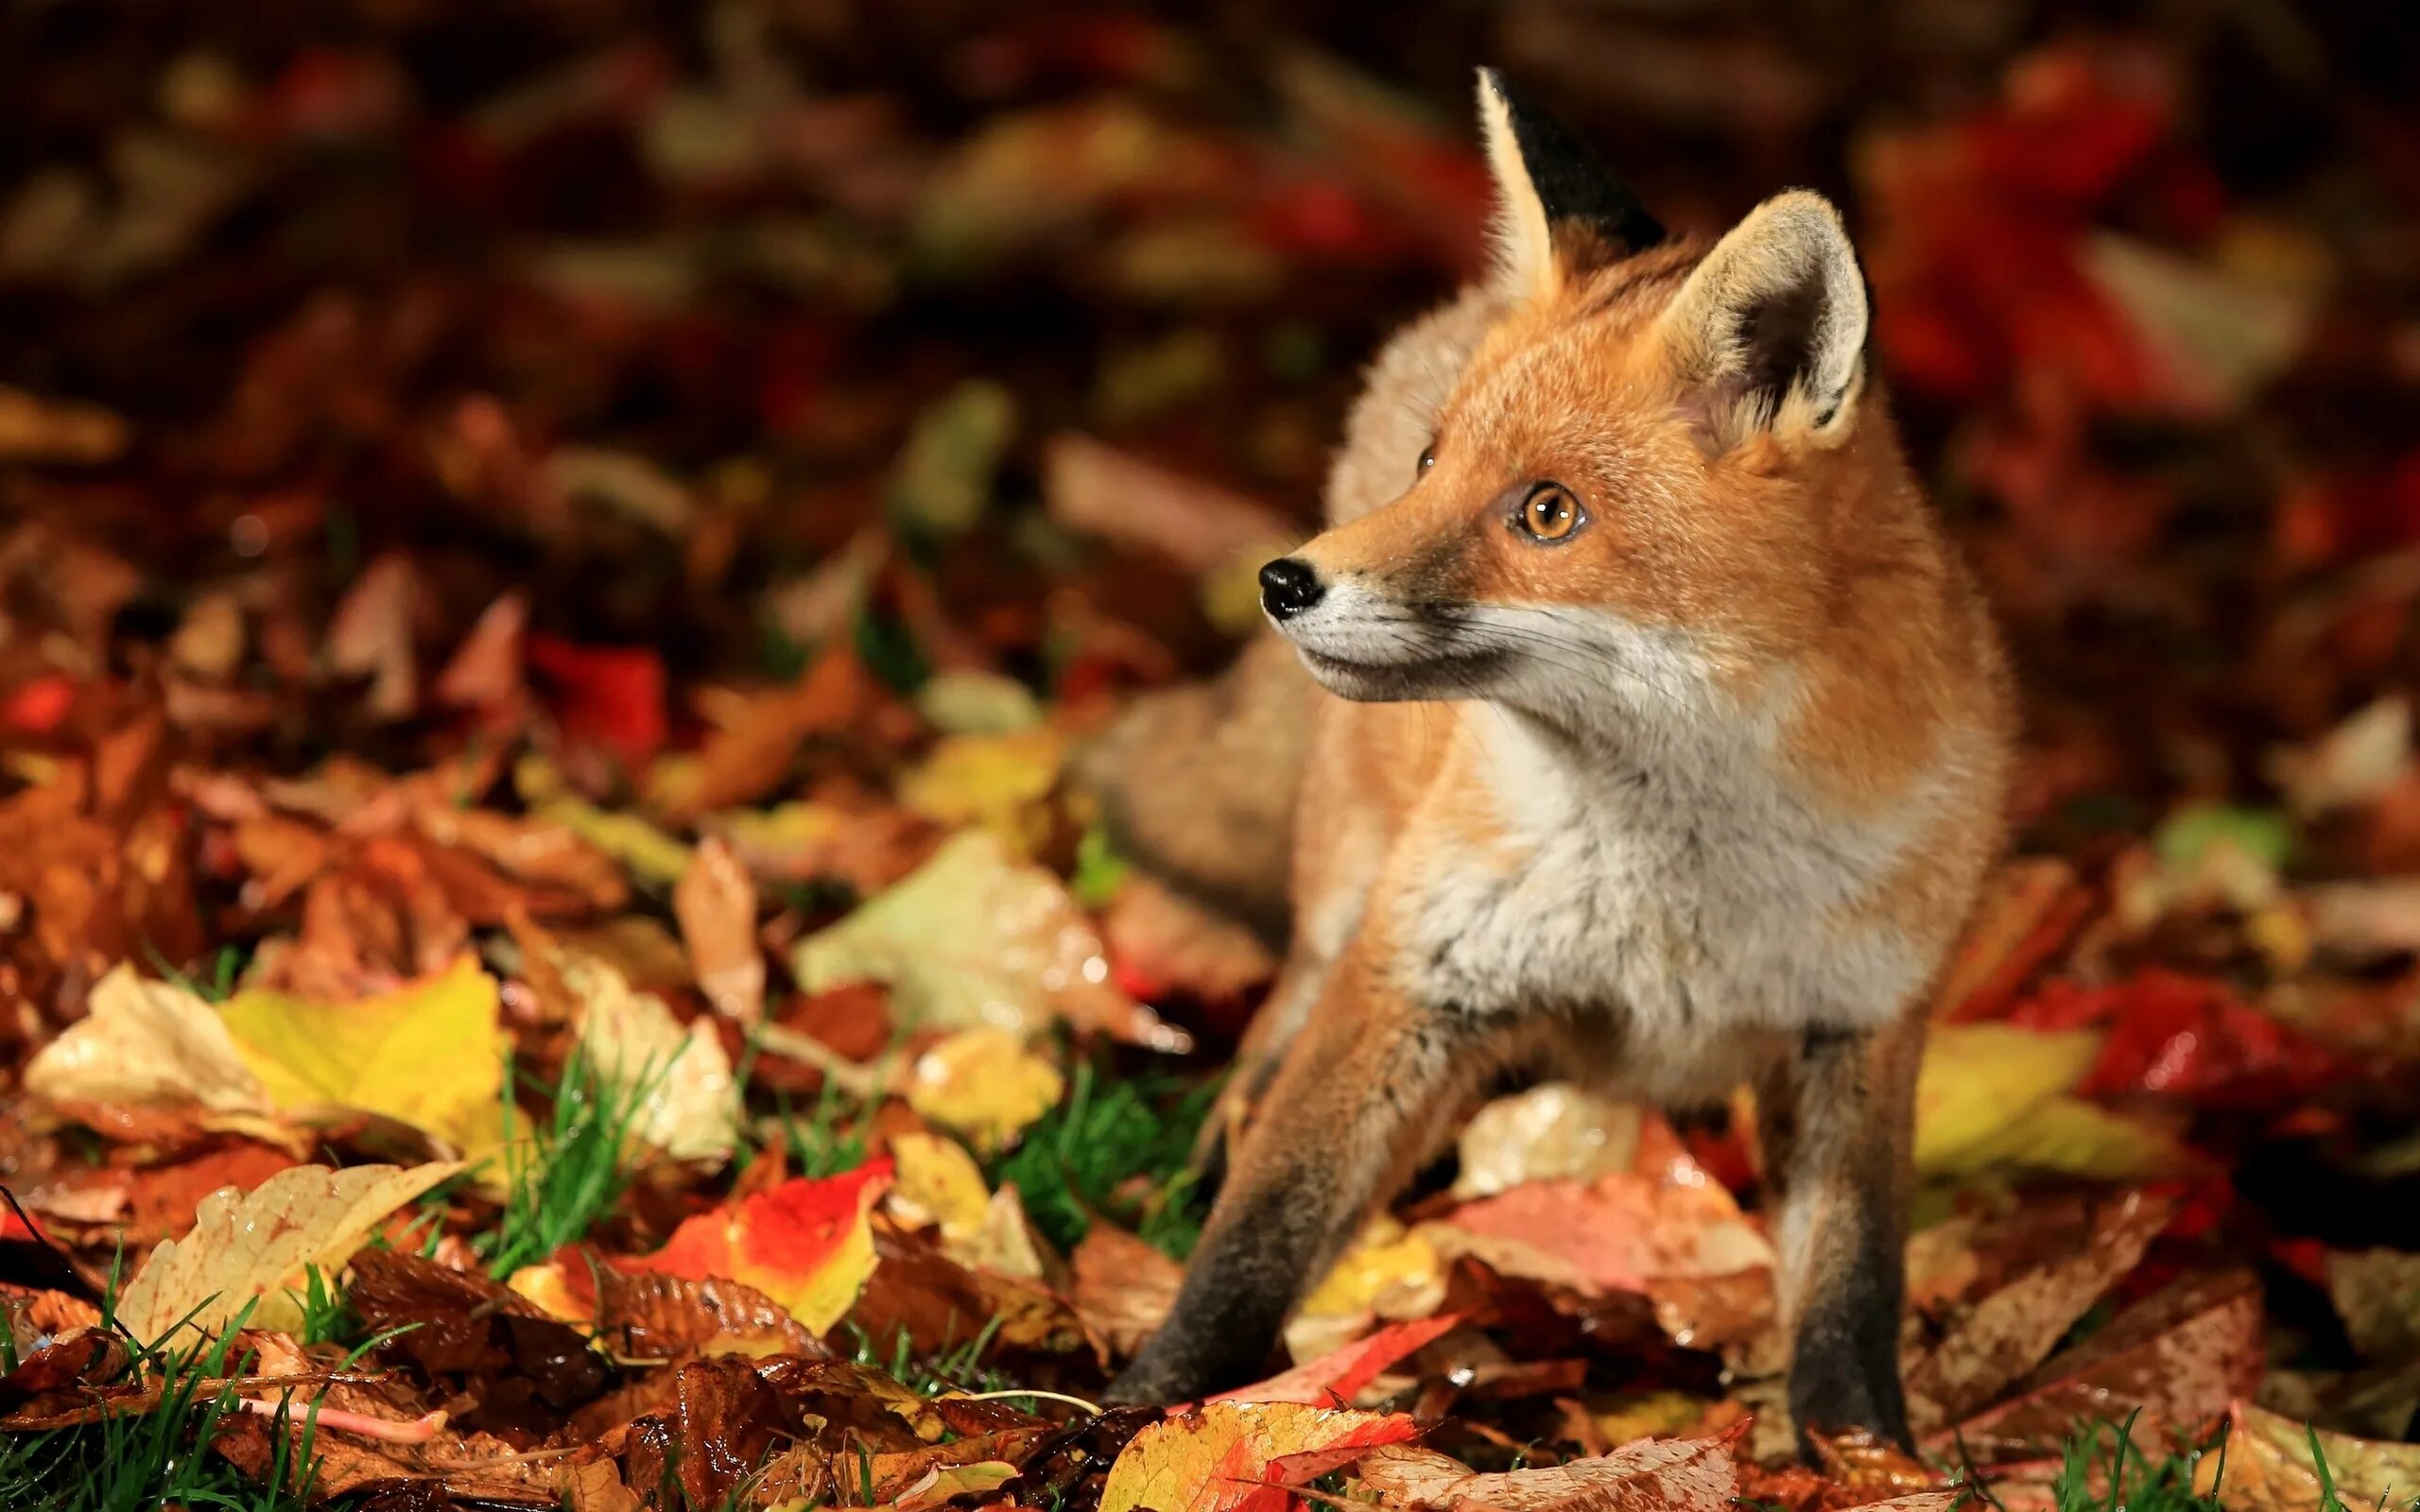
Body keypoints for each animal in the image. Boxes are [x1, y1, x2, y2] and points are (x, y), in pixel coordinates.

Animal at [1089, 70, 2013, 1452]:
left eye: (1546, 513)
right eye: (1434, 464)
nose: (1284, 582)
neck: (1677, 889)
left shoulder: (1858, 1024)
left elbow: (1852, 1295)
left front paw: (1867, 1461)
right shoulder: (1413, 974)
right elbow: (1260, 1233)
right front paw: (1141, 1415)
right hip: (1348, 888)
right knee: (1270, 1038)